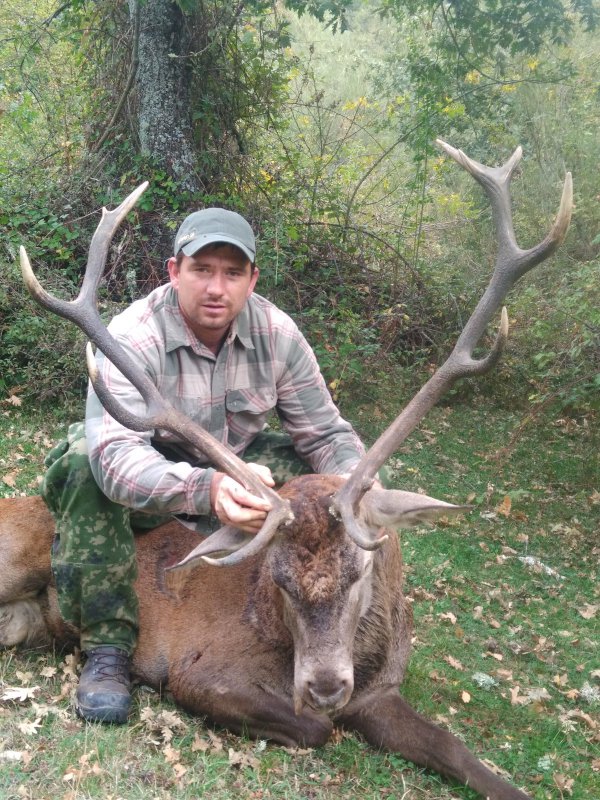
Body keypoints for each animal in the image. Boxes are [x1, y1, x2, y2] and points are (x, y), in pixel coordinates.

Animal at [0, 141, 572, 800]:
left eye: (360, 571)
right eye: (277, 579)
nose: (324, 686)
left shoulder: (381, 692)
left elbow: (460, 752)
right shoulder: (201, 670)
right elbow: (316, 730)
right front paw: (317, 716)